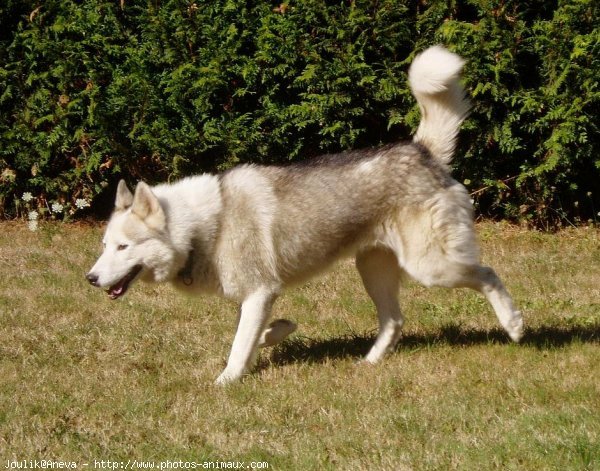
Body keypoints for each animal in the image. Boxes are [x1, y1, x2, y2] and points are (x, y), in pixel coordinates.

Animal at [86, 45, 524, 384]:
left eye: (123, 247)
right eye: (105, 245)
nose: (89, 279)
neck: (201, 229)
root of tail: (420, 151)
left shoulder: (260, 293)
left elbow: (239, 345)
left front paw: (226, 381)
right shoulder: (259, 299)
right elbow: (257, 335)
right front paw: (278, 334)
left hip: (431, 267)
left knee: (487, 274)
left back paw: (515, 325)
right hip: (373, 269)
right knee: (394, 321)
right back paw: (368, 364)